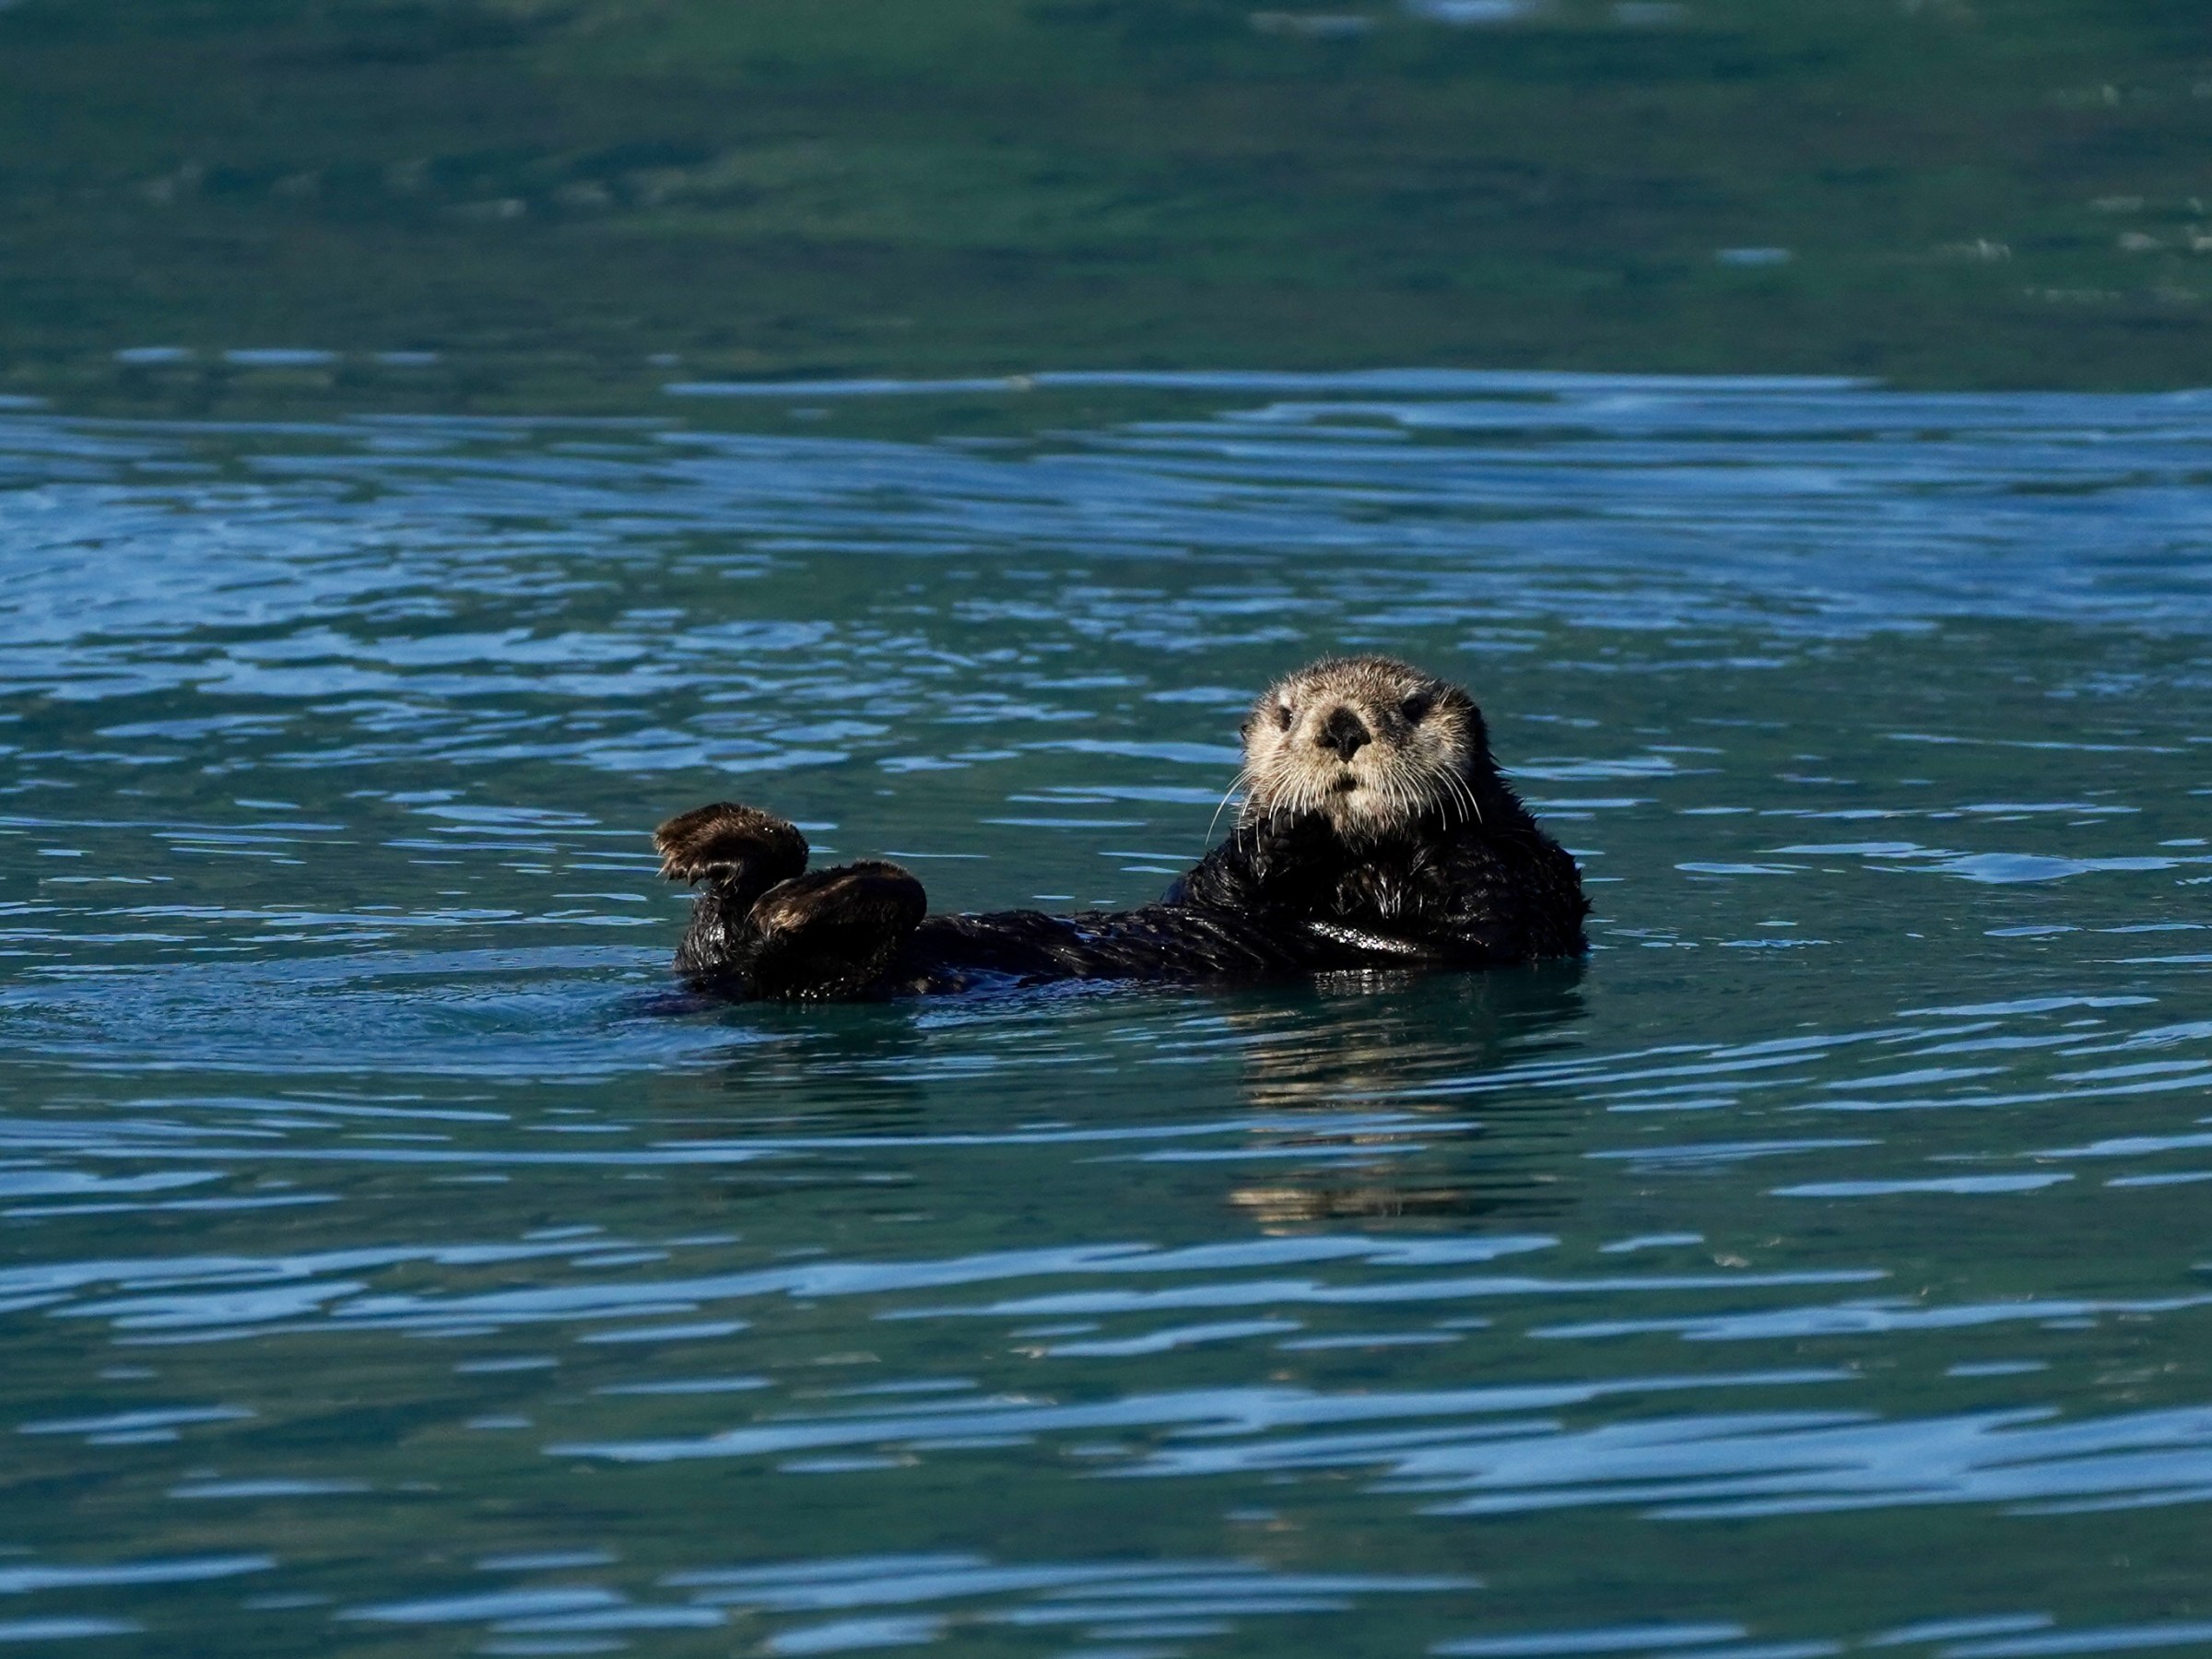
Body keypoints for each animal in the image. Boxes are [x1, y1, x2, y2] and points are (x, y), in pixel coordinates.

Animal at [654, 655, 1588, 1000]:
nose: (1342, 728)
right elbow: (1219, 886)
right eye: (1290, 714)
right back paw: (711, 837)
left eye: (1412, 707)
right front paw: (1285, 829)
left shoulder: (1529, 894)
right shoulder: (1216, 886)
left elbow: (1488, 914)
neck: (1362, 871)